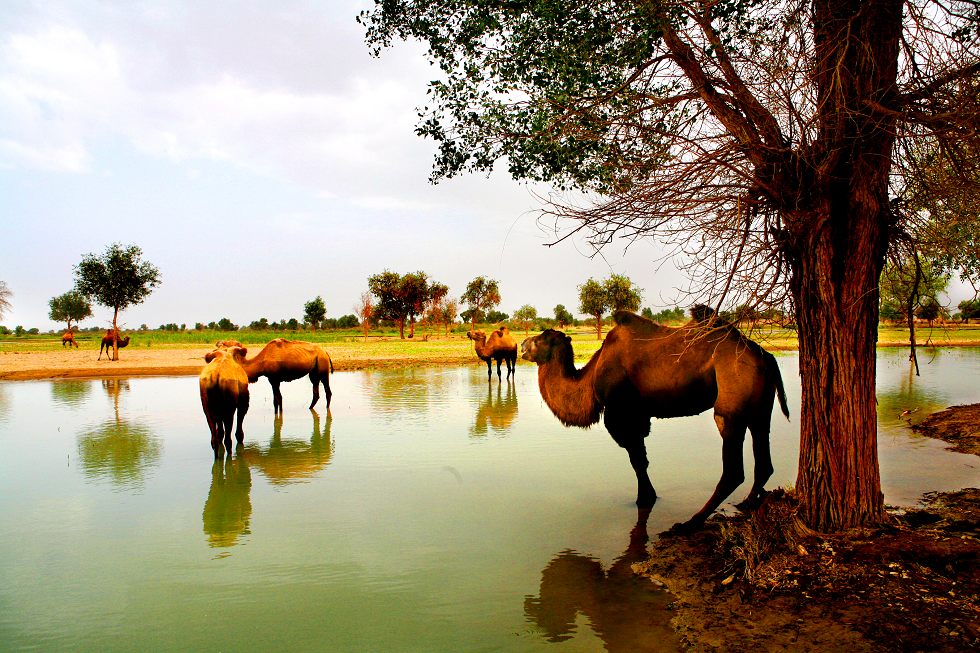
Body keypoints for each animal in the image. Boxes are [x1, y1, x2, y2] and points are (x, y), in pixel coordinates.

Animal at [520, 310, 788, 528]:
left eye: (542, 338)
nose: (522, 343)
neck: (593, 375)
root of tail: (764, 355)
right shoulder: (640, 415)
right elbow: (642, 460)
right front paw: (647, 496)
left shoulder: (621, 413)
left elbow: (637, 460)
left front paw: (645, 499)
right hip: (760, 405)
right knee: (763, 457)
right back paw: (746, 504)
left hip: (732, 398)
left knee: (733, 467)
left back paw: (691, 522)